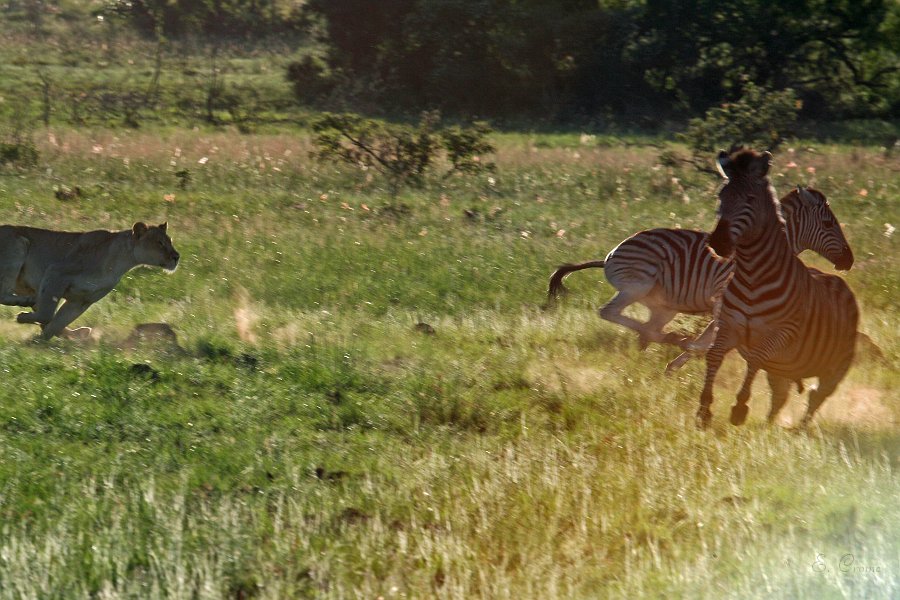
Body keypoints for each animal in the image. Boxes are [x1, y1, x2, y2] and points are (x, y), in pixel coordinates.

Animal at [548, 185, 852, 352]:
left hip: (663, 305)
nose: (849, 260)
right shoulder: (722, 297)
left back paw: (658, 341)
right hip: (638, 285)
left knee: (644, 327)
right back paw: (668, 338)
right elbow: (713, 337)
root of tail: (610, 254)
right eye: (828, 224)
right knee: (609, 312)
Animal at [696, 150, 856, 432]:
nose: (718, 243)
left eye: (750, 199)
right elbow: (714, 354)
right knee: (783, 396)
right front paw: (705, 408)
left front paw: (739, 407)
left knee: (815, 396)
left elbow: (755, 359)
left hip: (835, 367)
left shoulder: (781, 333)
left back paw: (797, 431)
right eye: (720, 196)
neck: (753, 275)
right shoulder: (728, 325)